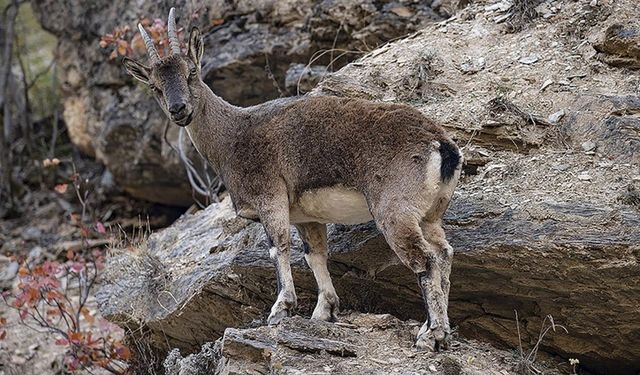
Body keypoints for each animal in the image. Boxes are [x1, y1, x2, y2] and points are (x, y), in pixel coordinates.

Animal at [122, 7, 462, 352]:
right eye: (155, 86)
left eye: (191, 72)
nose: (179, 110)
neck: (232, 136)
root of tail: (442, 145)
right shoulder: (306, 216)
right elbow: (314, 255)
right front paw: (323, 311)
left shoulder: (269, 197)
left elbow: (278, 247)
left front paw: (280, 309)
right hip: (430, 215)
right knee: (444, 254)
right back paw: (438, 330)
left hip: (394, 211)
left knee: (426, 260)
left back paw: (430, 334)